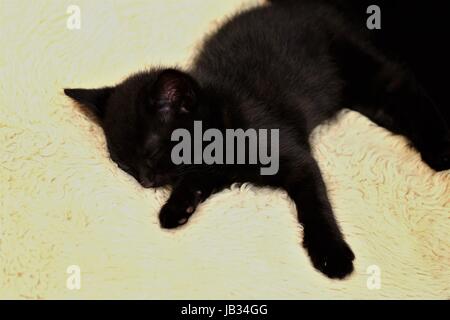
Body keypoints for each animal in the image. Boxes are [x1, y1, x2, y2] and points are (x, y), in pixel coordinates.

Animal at [64, 0, 450, 280]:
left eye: (154, 151)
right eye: (123, 165)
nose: (145, 181)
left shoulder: (295, 158)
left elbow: (315, 204)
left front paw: (331, 254)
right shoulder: (212, 171)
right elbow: (196, 179)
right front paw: (177, 209)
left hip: (366, 68)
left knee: (405, 87)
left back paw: (438, 152)